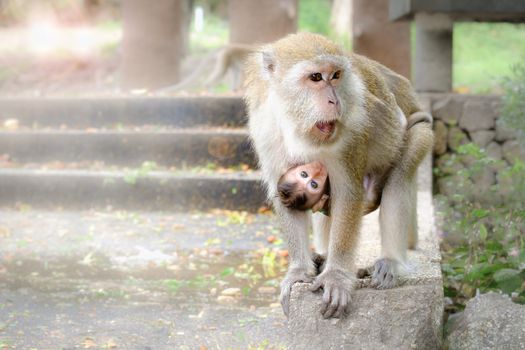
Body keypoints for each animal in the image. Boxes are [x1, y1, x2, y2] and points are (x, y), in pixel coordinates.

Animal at [244, 33, 432, 320]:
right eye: (315, 77)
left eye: (335, 76)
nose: (335, 101)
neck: (294, 124)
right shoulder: (266, 128)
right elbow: (285, 199)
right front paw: (298, 271)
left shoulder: (350, 135)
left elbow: (348, 194)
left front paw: (336, 276)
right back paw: (322, 255)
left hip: (422, 133)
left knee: (400, 177)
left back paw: (391, 262)